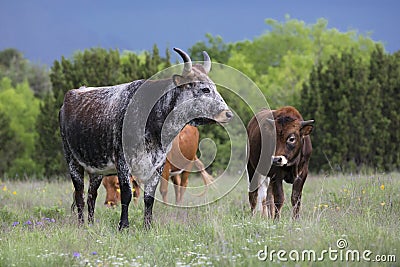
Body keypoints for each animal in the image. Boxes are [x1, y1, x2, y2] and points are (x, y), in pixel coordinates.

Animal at [60, 47, 234, 230]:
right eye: (205, 89)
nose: (228, 114)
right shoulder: (123, 163)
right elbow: (127, 194)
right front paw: (123, 225)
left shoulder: (158, 165)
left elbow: (149, 198)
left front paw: (147, 226)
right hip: (72, 161)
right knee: (80, 195)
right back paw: (81, 225)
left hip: (97, 169)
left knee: (91, 195)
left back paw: (91, 224)